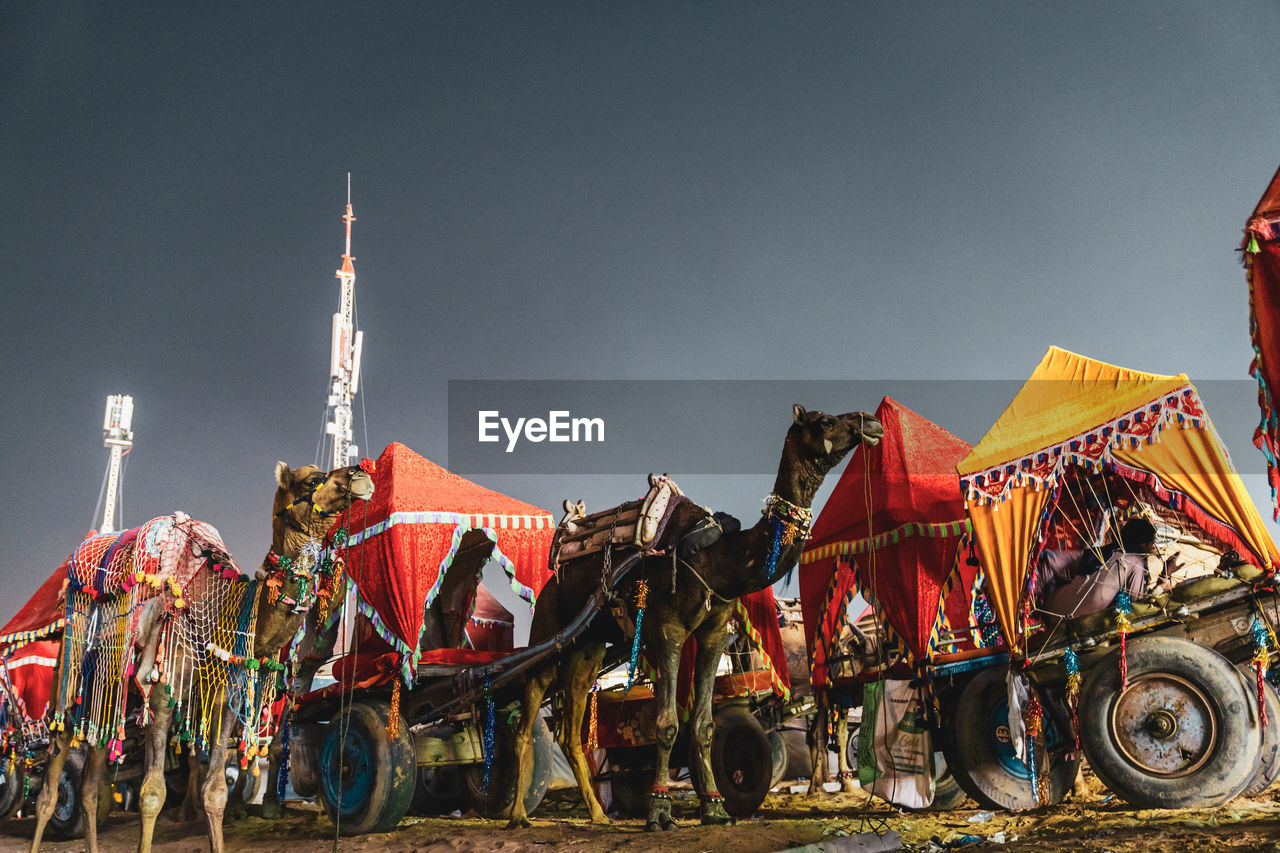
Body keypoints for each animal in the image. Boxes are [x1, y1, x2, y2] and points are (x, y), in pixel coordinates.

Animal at [27, 458, 373, 850]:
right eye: (312, 479)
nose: (362, 472)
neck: (228, 609)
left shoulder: (223, 703)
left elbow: (216, 791)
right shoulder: (163, 695)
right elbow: (152, 793)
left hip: (108, 694)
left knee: (90, 783)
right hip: (68, 682)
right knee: (49, 788)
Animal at [504, 404, 885, 829]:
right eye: (824, 421)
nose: (871, 422)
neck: (718, 558)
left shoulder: (714, 632)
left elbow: (703, 724)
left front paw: (716, 808)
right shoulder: (667, 630)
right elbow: (667, 723)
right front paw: (659, 812)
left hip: (589, 647)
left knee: (570, 728)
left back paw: (600, 816)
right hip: (551, 624)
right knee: (527, 710)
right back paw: (517, 814)